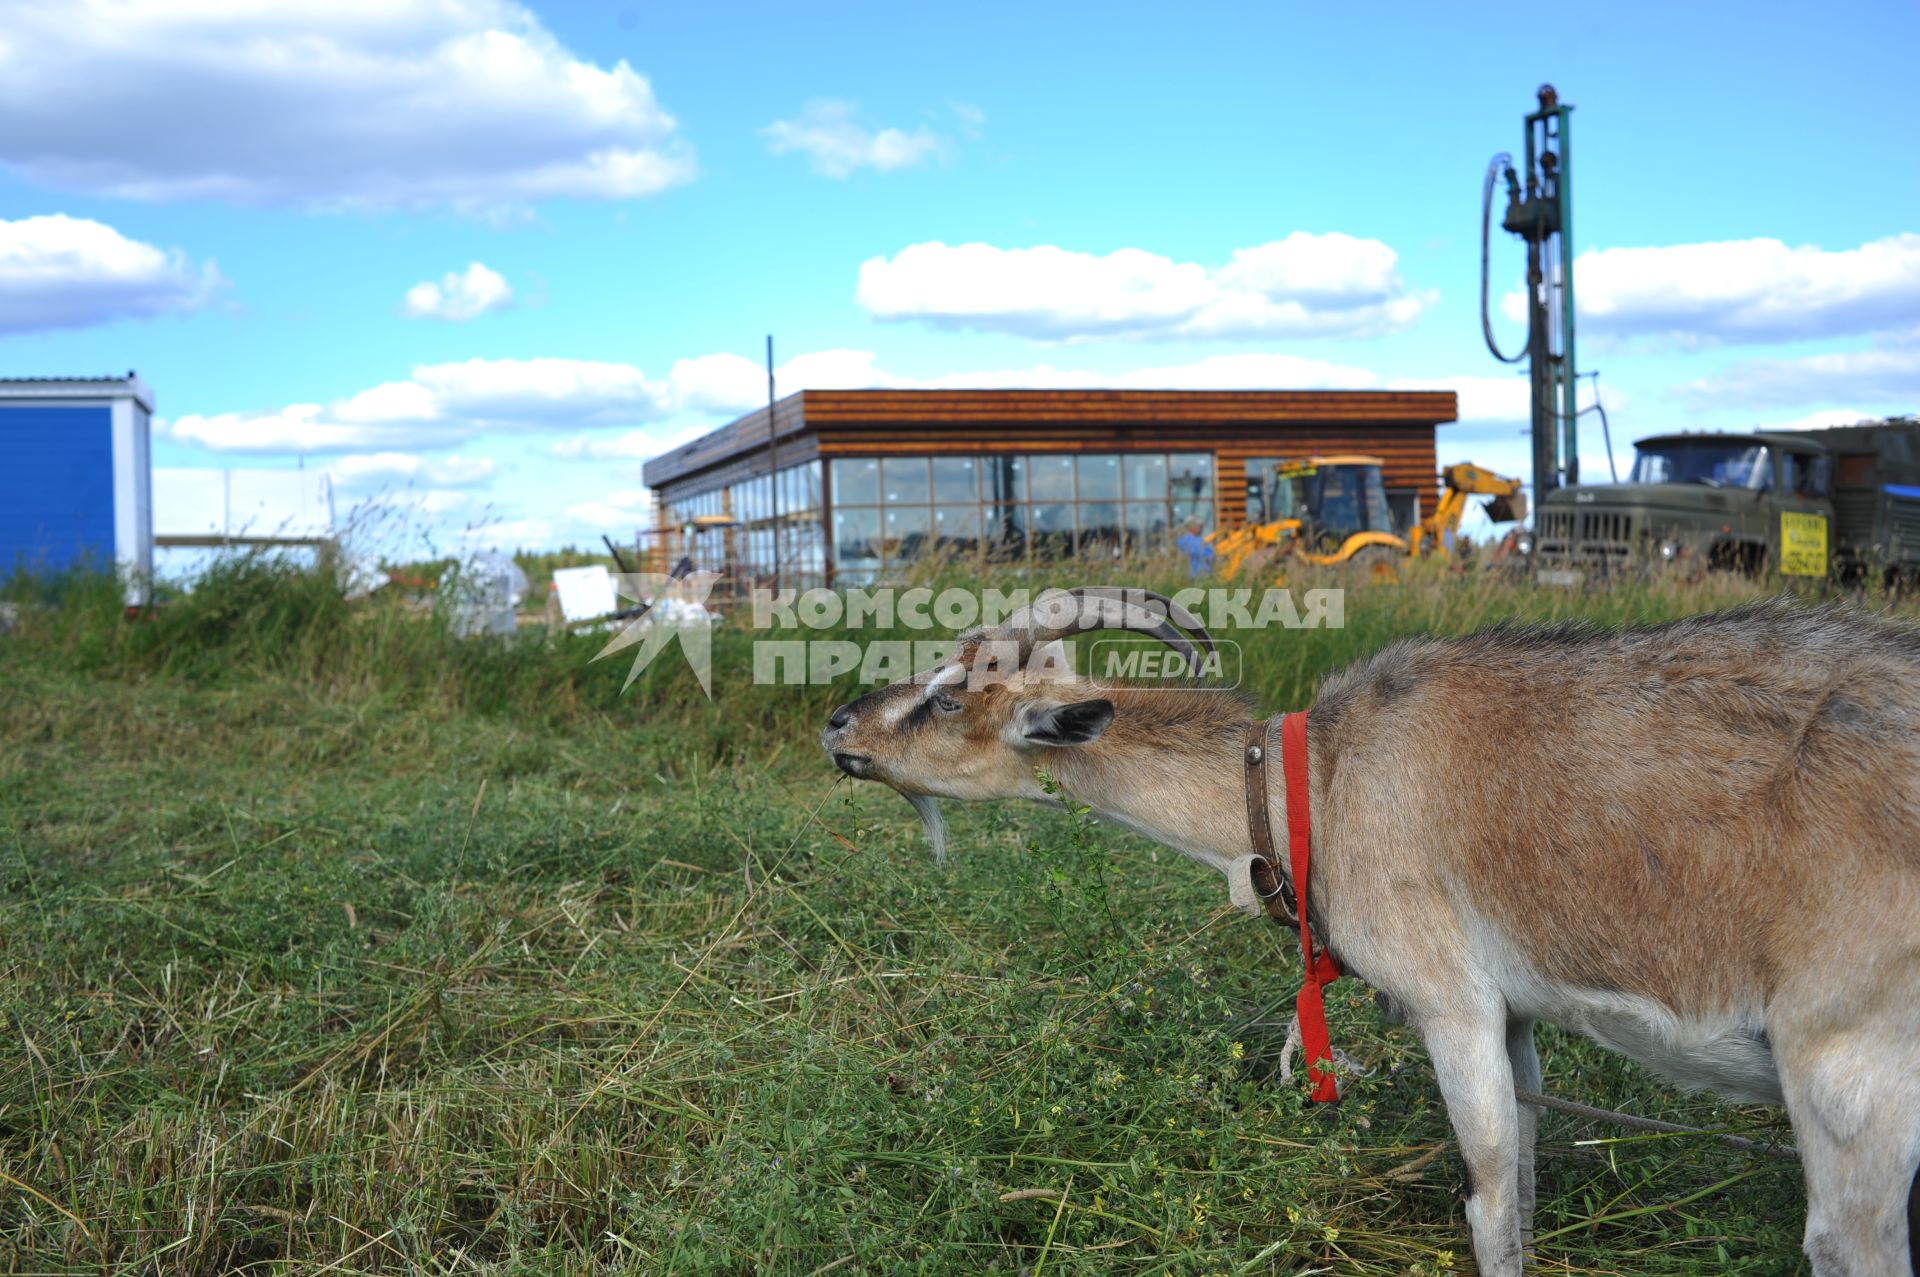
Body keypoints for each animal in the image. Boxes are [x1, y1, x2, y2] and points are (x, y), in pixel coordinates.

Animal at [817, 591, 1920, 1275]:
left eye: (944, 698)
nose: (837, 726)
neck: (1322, 783)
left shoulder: (1451, 999)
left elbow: (1490, 1198)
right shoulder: (1514, 1014)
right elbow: (1523, 1178)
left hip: (1847, 1061)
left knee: (1846, 1240)